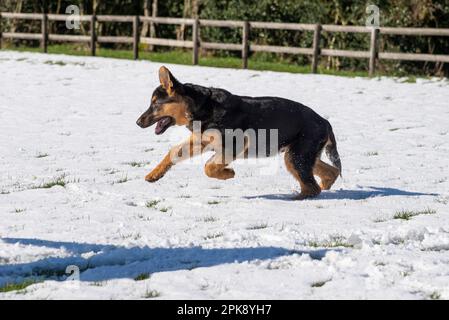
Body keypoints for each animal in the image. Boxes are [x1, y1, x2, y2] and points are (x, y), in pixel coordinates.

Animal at [136, 66, 340, 199]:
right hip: (299, 155)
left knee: (312, 187)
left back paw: (296, 198)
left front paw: (228, 173)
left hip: (297, 156)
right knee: (330, 172)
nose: (137, 123)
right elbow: (173, 153)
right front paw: (154, 175)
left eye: (155, 104)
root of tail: (325, 122)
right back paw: (325, 185)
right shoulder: (201, 141)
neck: (203, 107)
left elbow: (209, 167)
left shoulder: (234, 145)